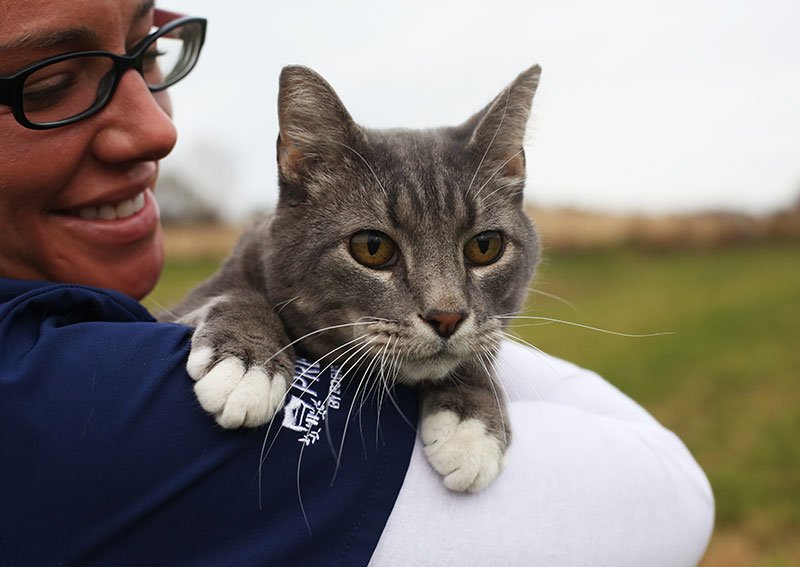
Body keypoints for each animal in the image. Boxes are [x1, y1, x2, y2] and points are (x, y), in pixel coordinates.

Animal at [169, 65, 544, 492]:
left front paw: (470, 430)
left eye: (485, 246)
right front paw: (246, 367)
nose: (446, 317)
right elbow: (234, 294)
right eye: (372, 247)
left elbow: (481, 347)